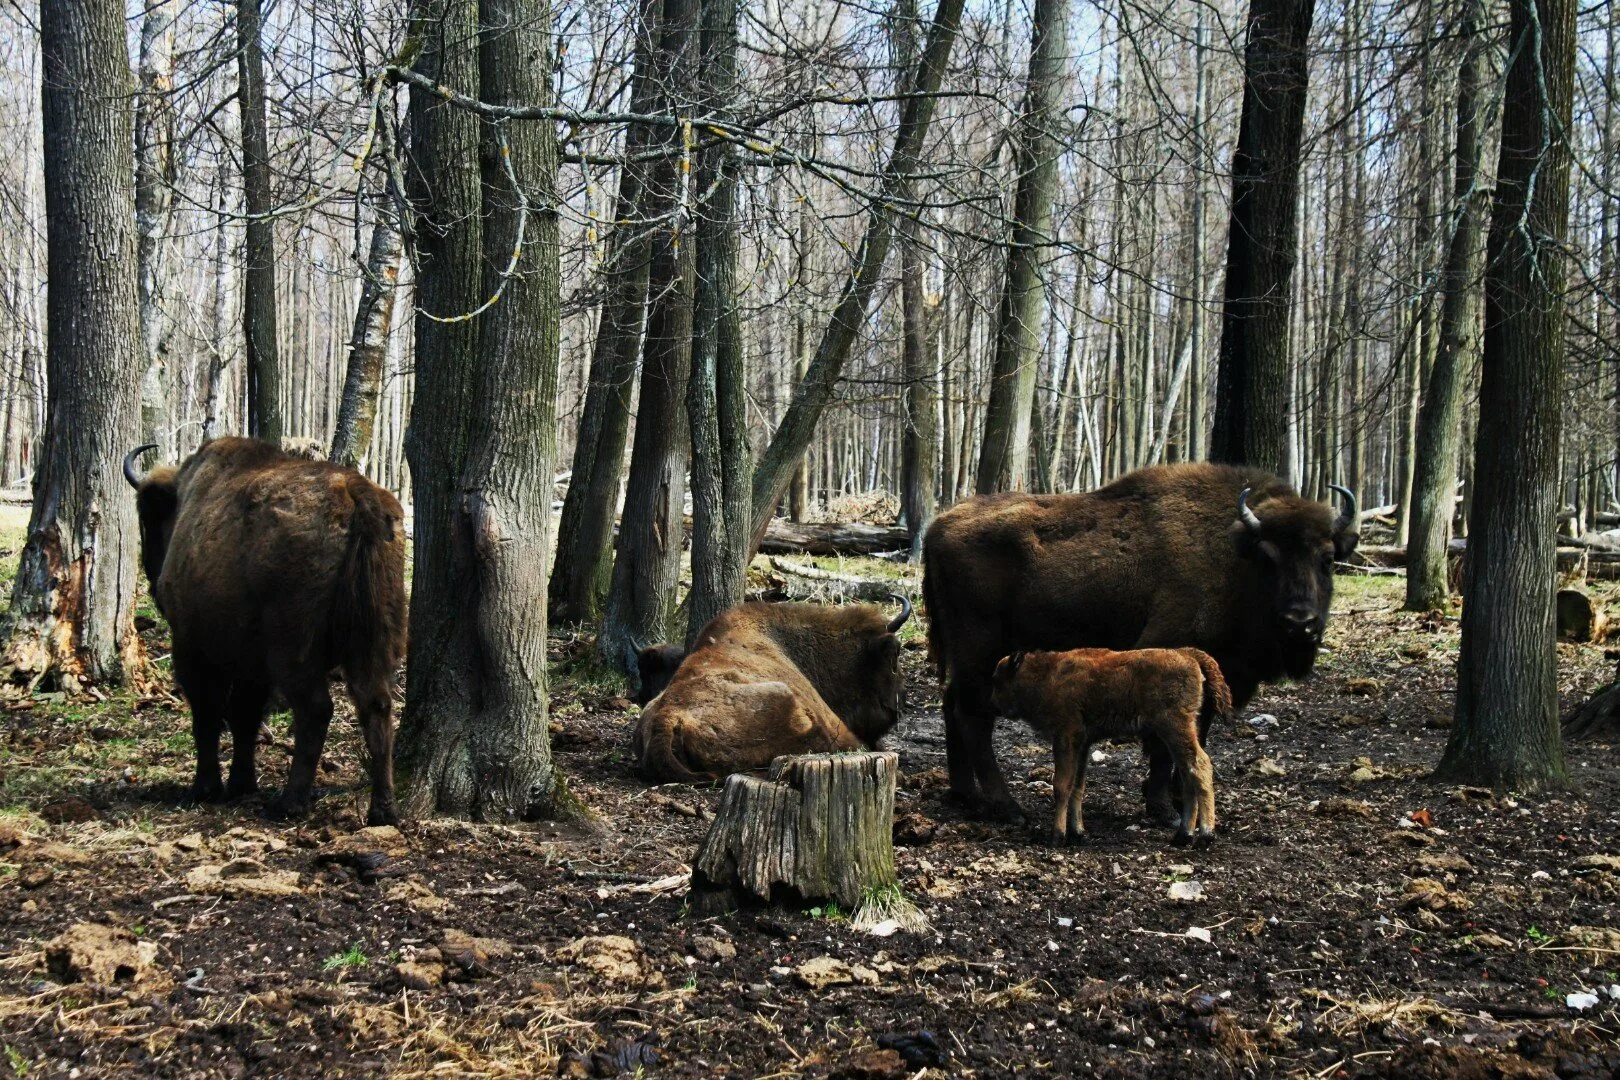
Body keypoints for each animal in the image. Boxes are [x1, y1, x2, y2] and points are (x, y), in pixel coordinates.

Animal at [123, 433, 408, 822]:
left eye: (148, 519)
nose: (153, 581)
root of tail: (355, 493)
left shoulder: (193, 650)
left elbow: (208, 715)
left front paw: (206, 788)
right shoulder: (251, 666)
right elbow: (244, 716)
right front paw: (242, 784)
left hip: (294, 650)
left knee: (316, 709)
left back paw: (289, 803)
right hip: (375, 640)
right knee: (375, 704)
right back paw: (384, 809)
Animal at [920, 459, 1360, 822]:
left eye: (1327, 559)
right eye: (1269, 559)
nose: (1300, 623)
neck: (1234, 556)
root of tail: (938, 526)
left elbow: (1196, 734)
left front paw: (1181, 801)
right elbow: (1164, 744)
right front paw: (1162, 807)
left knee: (952, 705)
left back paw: (965, 796)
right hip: (980, 652)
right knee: (973, 716)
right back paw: (1008, 807)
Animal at [984, 647, 1224, 848]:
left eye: (996, 680)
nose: (992, 705)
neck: (1047, 674)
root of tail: (1188, 655)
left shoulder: (1065, 738)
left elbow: (1061, 786)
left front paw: (1056, 836)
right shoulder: (1082, 744)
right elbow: (1077, 786)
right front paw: (1078, 833)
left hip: (1174, 728)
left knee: (1200, 766)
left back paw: (1205, 835)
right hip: (1178, 734)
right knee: (1188, 774)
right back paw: (1183, 836)